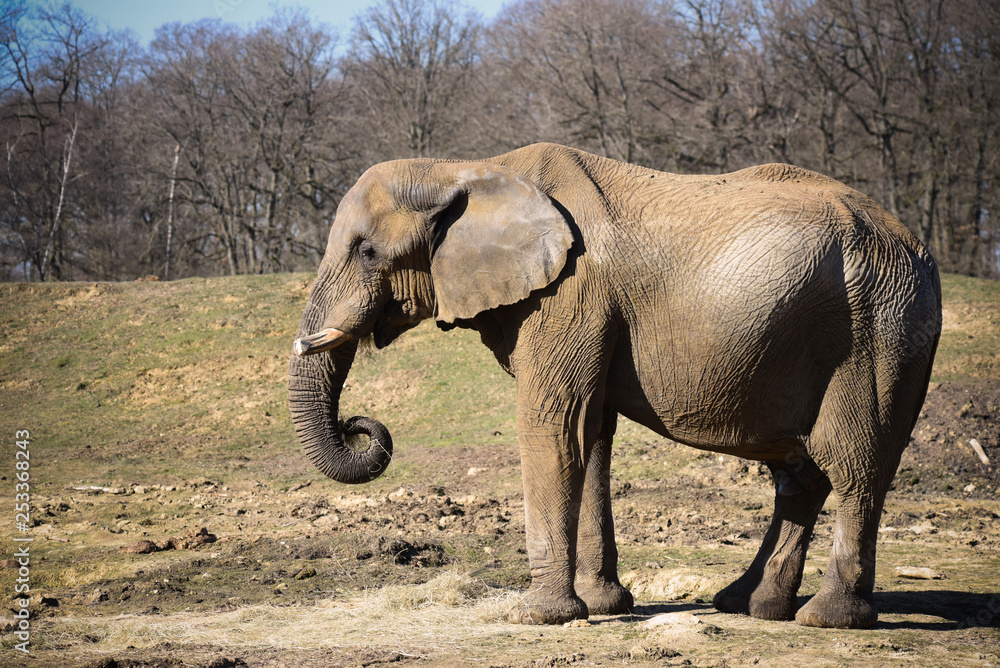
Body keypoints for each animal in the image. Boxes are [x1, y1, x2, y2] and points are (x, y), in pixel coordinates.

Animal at [287, 142, 941, 629]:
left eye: (367, 251)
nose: (361, 425)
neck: (464, 169)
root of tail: (919, 248)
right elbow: (592, 433)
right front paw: (604, 606)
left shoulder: (570, 293)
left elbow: (554, 425)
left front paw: (538, 617)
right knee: (801, 474)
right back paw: (750, 605)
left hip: (877, 332)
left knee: (851, 464)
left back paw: (827, 618)